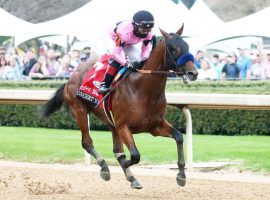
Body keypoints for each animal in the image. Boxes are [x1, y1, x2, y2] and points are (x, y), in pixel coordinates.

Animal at [42, 24, 198, 188]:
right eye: (174, 49)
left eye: (187, 46)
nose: (193, 73)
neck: (143, 90)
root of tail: (71, 76)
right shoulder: (123, 126)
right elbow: (134, 155)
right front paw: (125, 165)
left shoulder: (155, 126)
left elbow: (179, 137)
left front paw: (181, 175)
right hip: (80, 111)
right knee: (87, 143)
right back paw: (105, 168)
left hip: (111, 123)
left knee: (116, 148)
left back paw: (131, 177)